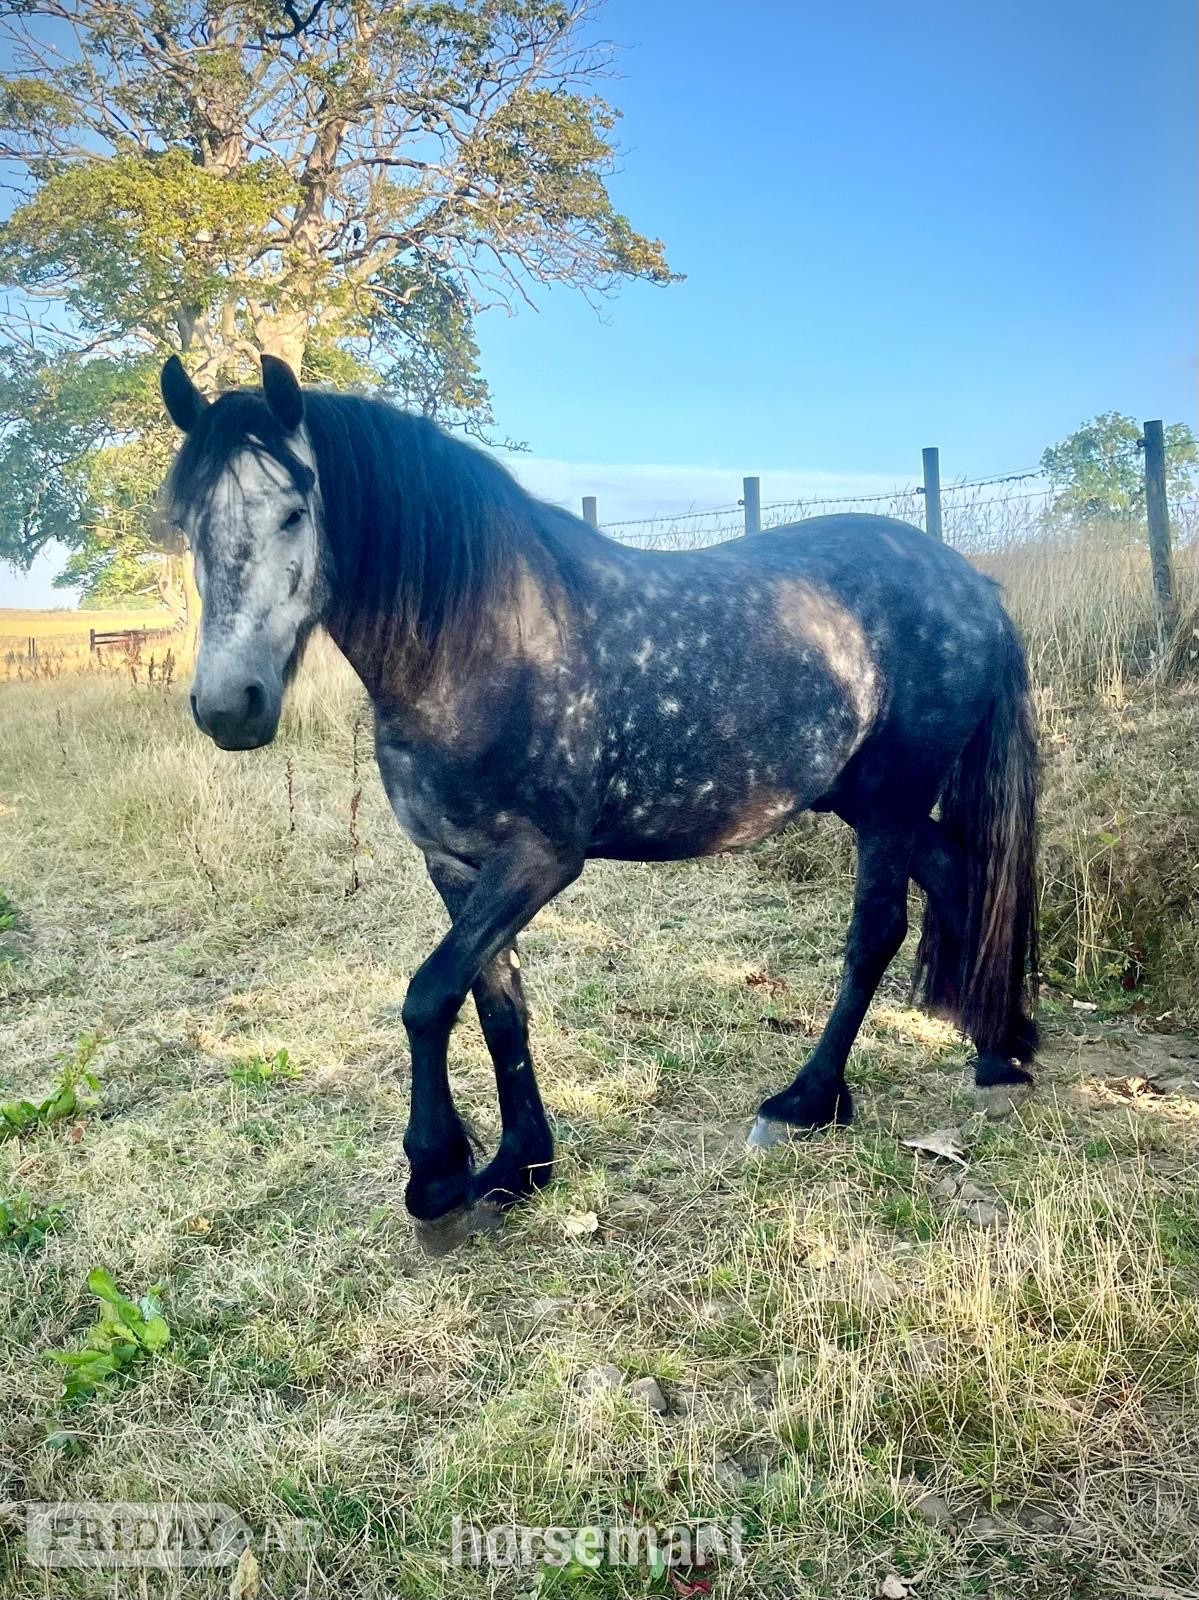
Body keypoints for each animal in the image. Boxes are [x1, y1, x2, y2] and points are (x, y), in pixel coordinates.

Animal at [160, 354, 1039, 1254]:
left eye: (293, 513)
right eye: (186, 521)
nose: (228, 705)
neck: (477, 644)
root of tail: (970, 583)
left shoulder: (540, 860)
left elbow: (428, 997)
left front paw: (436, 1178)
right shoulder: (455, 863)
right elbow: (495, 1005)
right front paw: (518, 1166)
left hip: (893, 800)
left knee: (876, 934)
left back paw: (806, 1102)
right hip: (862, 798)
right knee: (960, 876)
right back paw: (999, 1051)